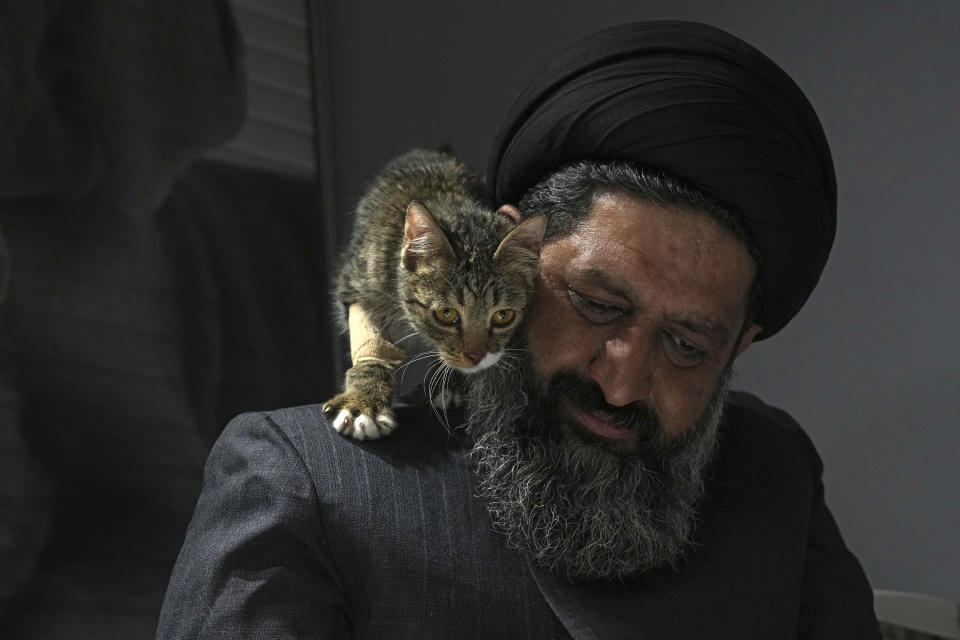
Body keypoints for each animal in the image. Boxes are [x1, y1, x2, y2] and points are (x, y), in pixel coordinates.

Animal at [324, 150, 544, 440]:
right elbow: (372, 342)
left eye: (503, 316)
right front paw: (365, 401)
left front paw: (451, 381)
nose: (476, 357)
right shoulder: (356, 285)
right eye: (446, 314)